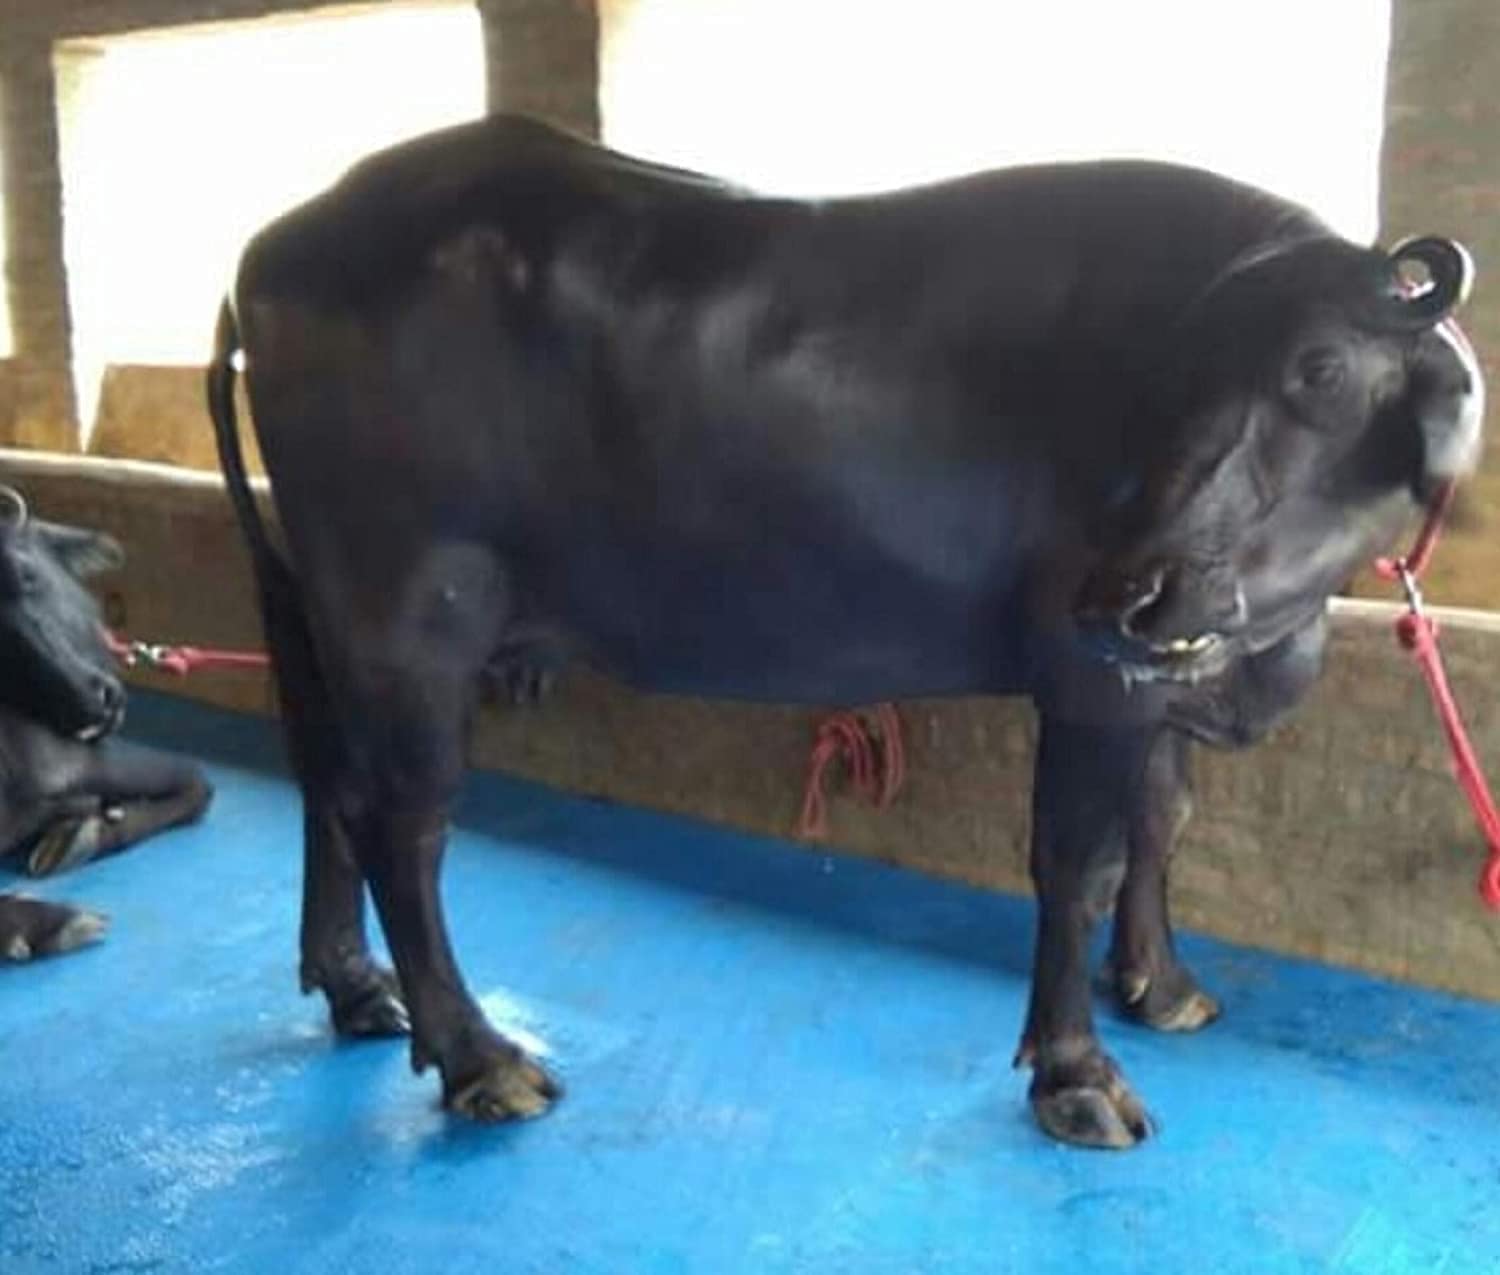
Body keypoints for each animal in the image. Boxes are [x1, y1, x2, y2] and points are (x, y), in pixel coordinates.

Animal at [206, 115, 1484, 1149]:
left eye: (1319, 368)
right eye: (1174, 384)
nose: (1124, 593)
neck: (1273, 635)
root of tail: (278, 243)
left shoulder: (1167, 674)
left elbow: (1160, 828)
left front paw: (1163, 985)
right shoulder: (1089, 683)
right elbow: (1077, 862)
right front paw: (1076, 1074)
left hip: (320, 608)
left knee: (329, 780)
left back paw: (357, 987)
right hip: (408, 621)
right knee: (406, 823)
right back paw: (480, 1058)